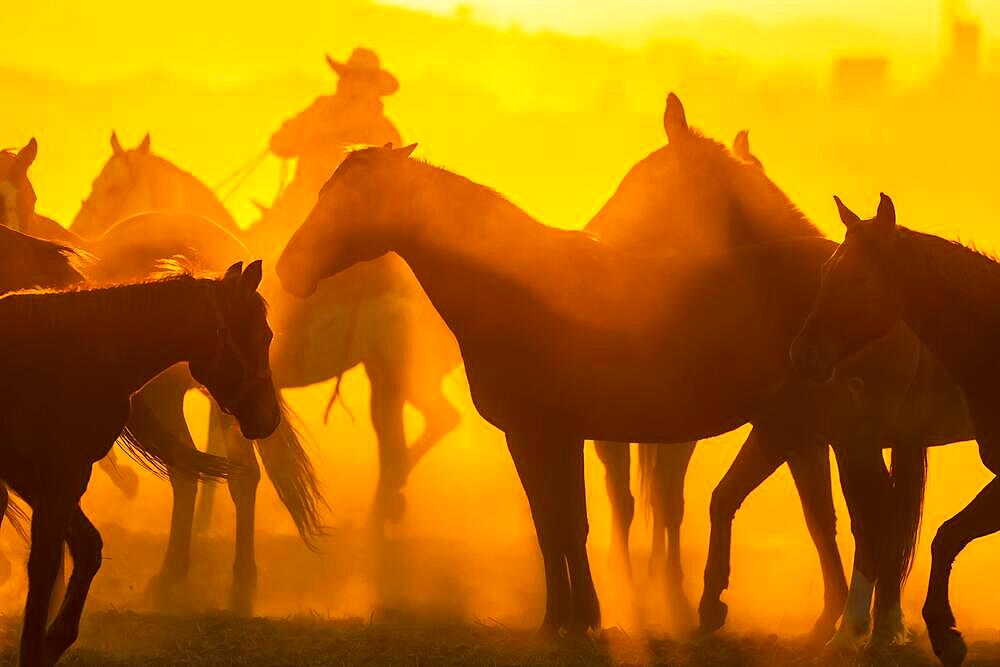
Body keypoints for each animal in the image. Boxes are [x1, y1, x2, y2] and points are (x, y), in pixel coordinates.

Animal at [2, 260, 282, 664]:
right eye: (263, 335)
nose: (270, 417)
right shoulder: (59, 474)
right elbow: (46, 567)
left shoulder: (39, 478)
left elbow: (87, 549)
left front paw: (55, 641)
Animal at [67, 132, 464, 528]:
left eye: (114, 188)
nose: (79, 234)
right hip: (382, 371)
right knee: (400, 433)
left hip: (404, 371)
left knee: (434, 422)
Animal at [278, 147, 972, 640]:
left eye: (347, 200)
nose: (287, 268)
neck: (513, 285)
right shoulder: (532, 437)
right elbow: (550, 523)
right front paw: (560, 619)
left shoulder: (554, 434)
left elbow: (570, 523)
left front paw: (581, 617)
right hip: (814, 434)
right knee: (845, 517)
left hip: (827, 433)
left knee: (868, 516)